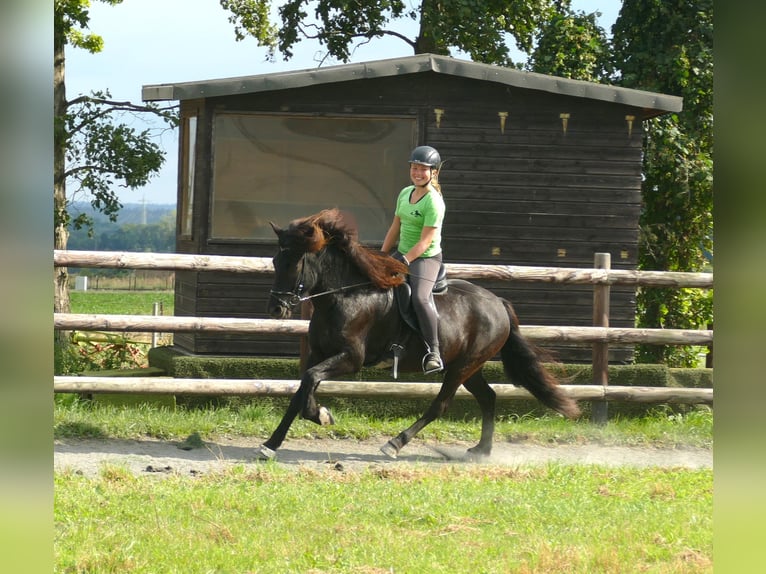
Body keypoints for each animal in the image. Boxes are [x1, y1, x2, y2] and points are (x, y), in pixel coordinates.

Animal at [255, 209, 580, 462]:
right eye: (275, 261)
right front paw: (271, 444)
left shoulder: (351, 359)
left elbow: (310, 380)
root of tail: (498, 303)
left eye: (294, 263)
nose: (275, 308)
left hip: (463, 366)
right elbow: (301, 389)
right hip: (468, 366)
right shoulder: (318, 354)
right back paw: (481, 450)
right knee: (488, 397)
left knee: (441, 405)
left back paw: (395, 444)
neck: (344, 296)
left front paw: (321, 415)